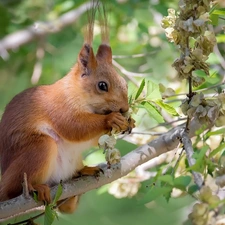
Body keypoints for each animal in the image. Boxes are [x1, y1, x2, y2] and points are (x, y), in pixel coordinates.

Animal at [0, 2, 134, 214]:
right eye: (102, 85)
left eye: (124, 82)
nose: (123, 108)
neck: (77, 94)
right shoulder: (59, 107)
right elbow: (73, 127)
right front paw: (111, 119)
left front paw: (130, 122)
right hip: (37, 150)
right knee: (13, 190)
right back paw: (35, 187)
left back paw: (83, 173)